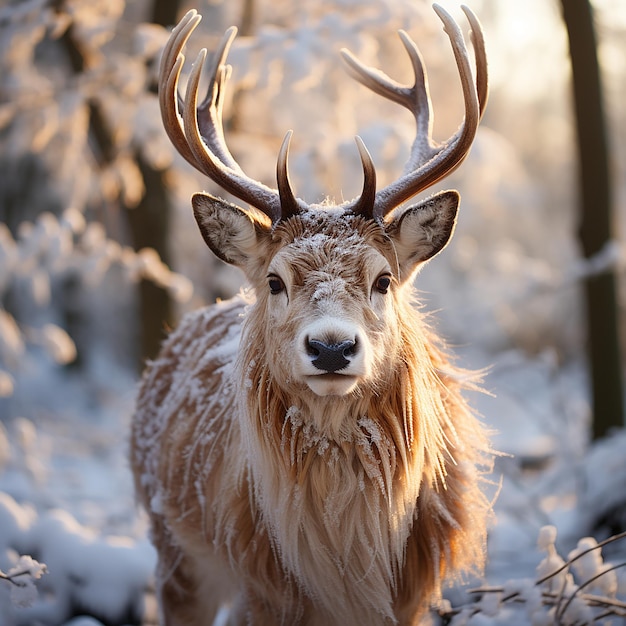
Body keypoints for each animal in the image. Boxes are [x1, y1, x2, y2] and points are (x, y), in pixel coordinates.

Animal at [130, 6, 492, 624]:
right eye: (275, 281)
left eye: (383, 279)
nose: (331, 347)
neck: (350, 570)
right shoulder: (265, 588)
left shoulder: (416, 589)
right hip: (172, 548)